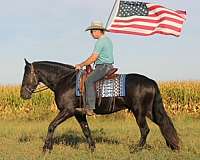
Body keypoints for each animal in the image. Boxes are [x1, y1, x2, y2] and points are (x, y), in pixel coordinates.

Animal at [19, 59, 180, 152]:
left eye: (26, 74)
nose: (23, 94)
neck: (65, 81)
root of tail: (151, 81)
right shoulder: (79, 113)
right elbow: (86, 130)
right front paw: (92, 148)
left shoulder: (67, 110)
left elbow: (51, 125)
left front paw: (46, 148)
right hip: (149, 111)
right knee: (163, 123)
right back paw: (173, 145)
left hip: (139, 111)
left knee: (145, 130)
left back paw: (136, 149)